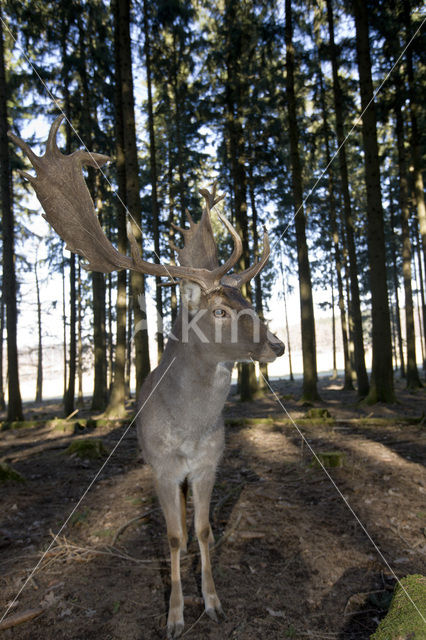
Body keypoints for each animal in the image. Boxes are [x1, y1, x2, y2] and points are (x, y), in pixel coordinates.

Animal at [9, 116, 282, 640]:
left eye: (248, 300)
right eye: (220, 310)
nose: (277, 345)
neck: (190, 428)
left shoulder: (210, 463)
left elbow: (205, 530)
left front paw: (213, 603)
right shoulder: (161, 465)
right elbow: (172, 537)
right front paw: (175, 615)